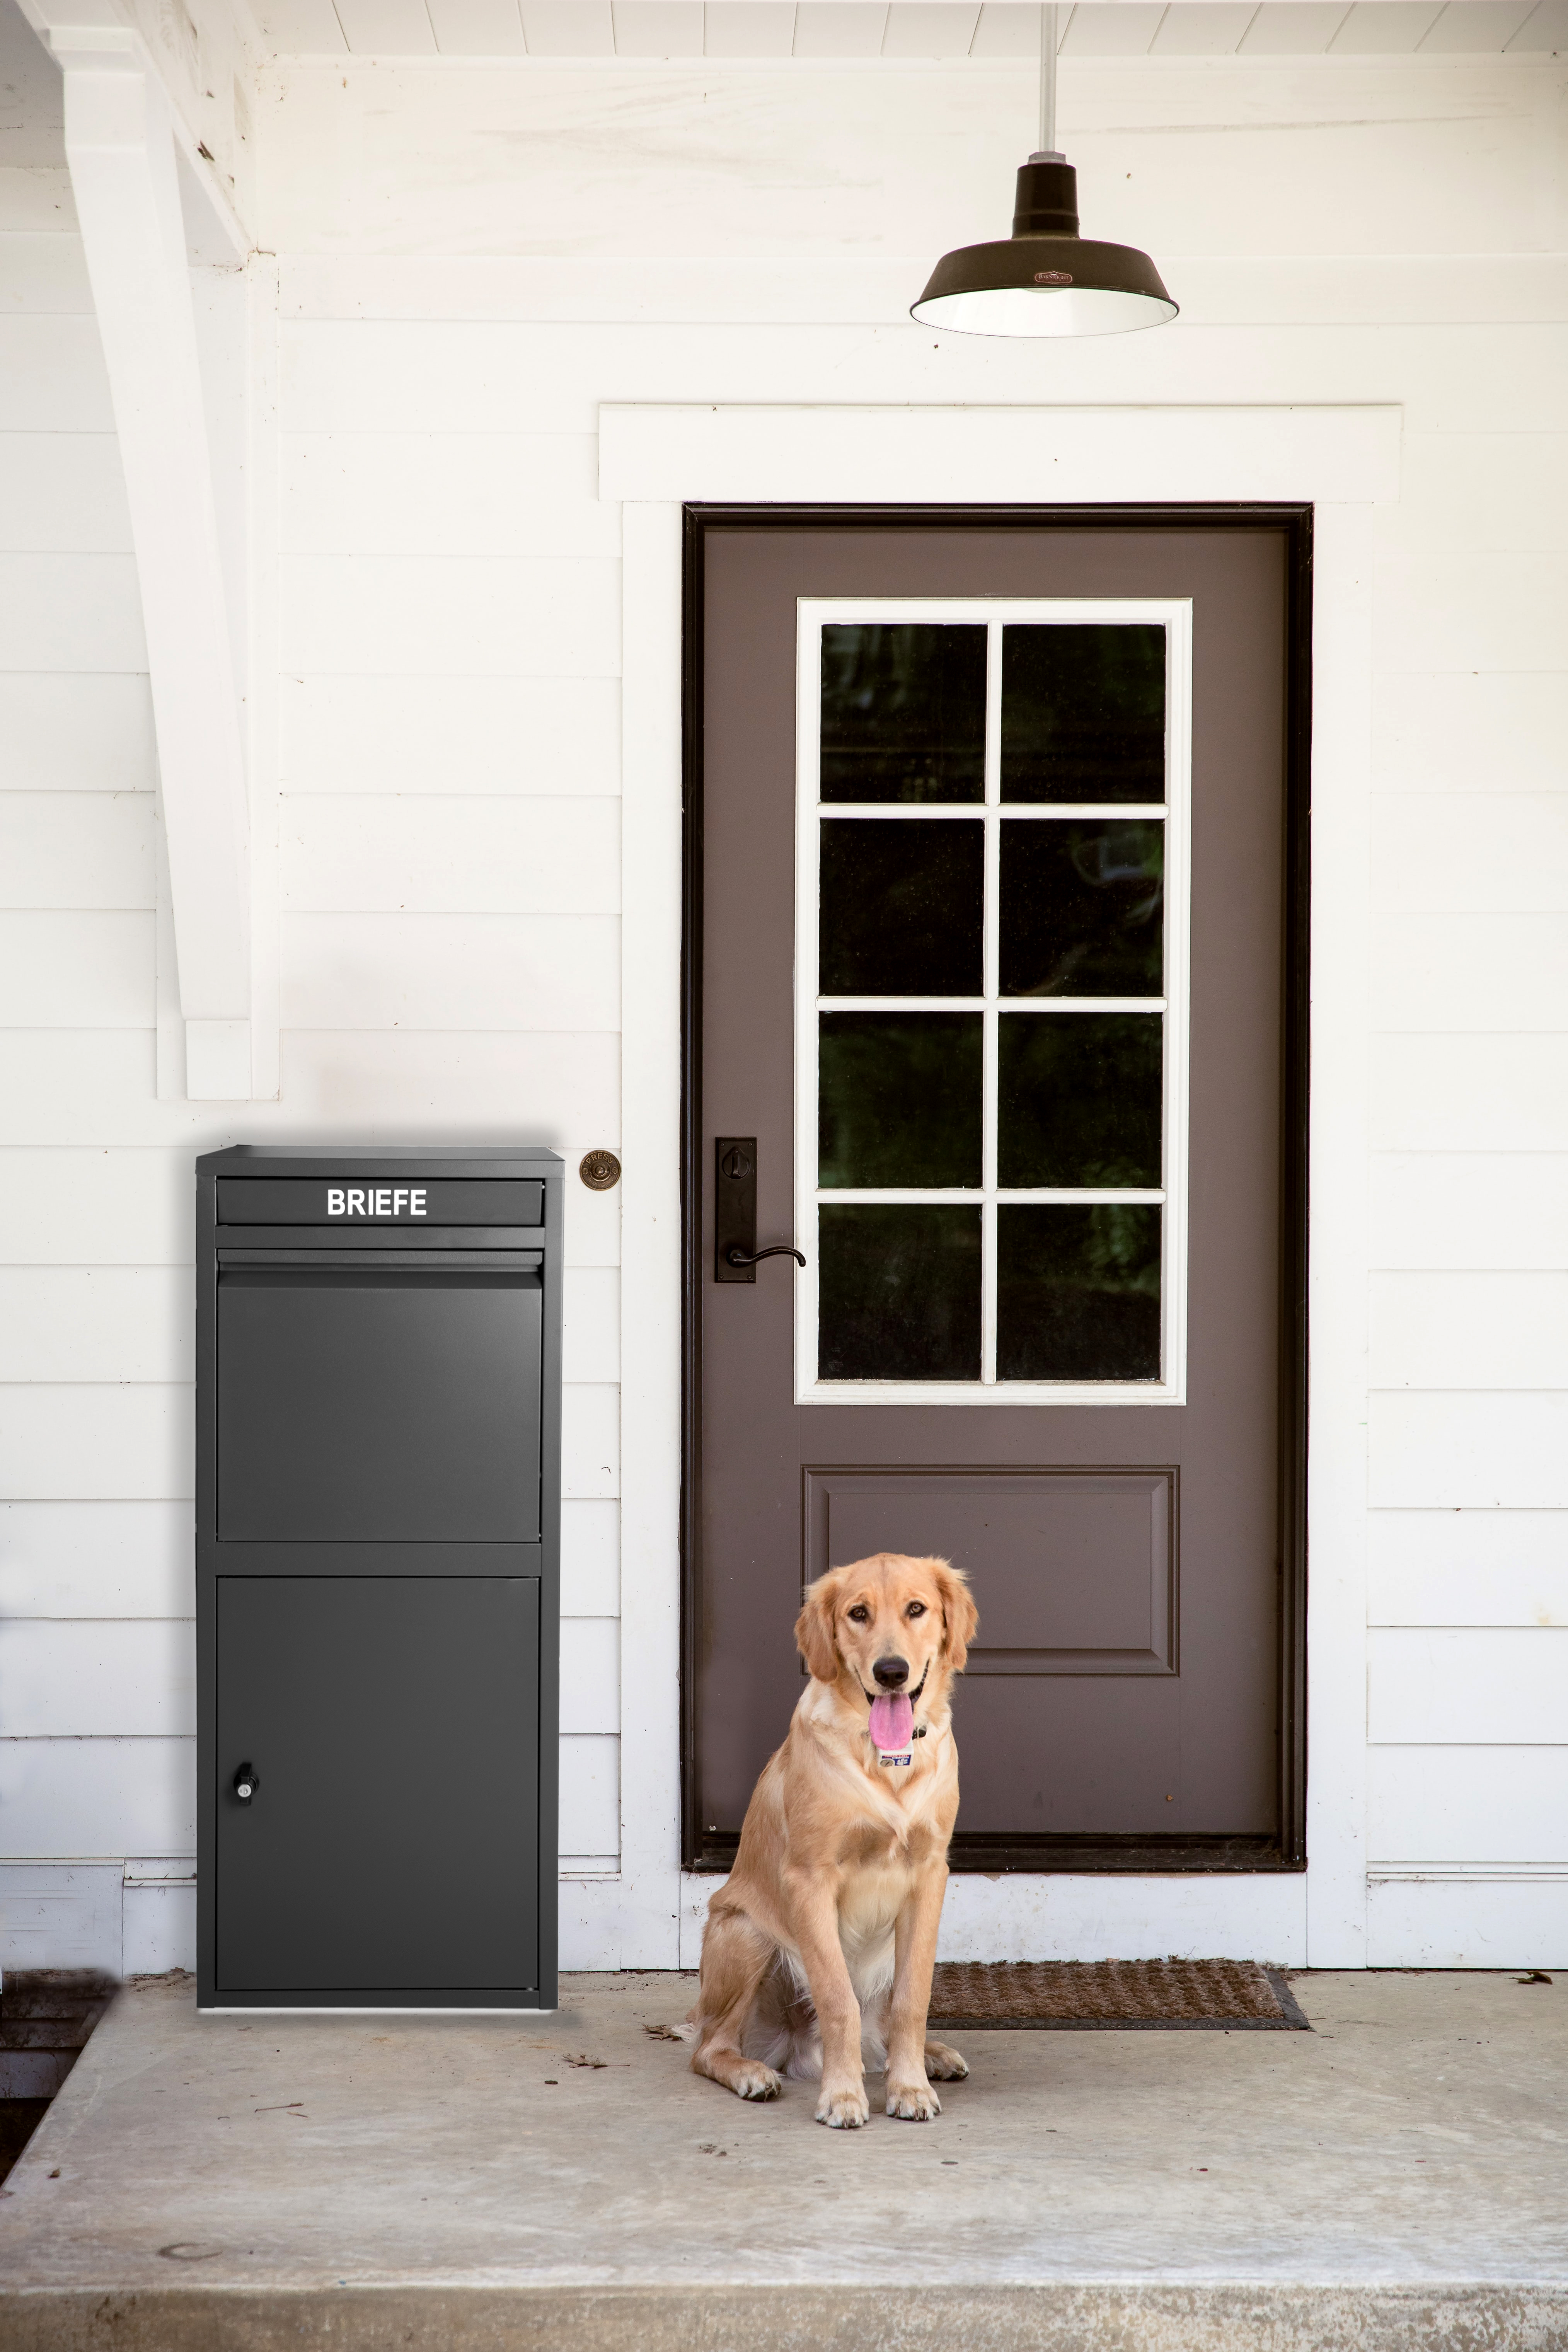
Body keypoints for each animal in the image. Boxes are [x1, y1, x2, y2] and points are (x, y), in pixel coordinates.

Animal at [691, 1552, 973, 2126]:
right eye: (858, 1613)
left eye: (917, 1609)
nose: (892, 1672)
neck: (885, 1758)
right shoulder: (810, 1879)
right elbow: (838, 1998)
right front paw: (842, 2096)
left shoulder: (930, 1874)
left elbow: (914, 1998)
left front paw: (909, 2087)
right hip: (745, 1933)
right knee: (710, 2047)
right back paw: (752, 2072)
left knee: (884, 2028)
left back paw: (930, 2057)